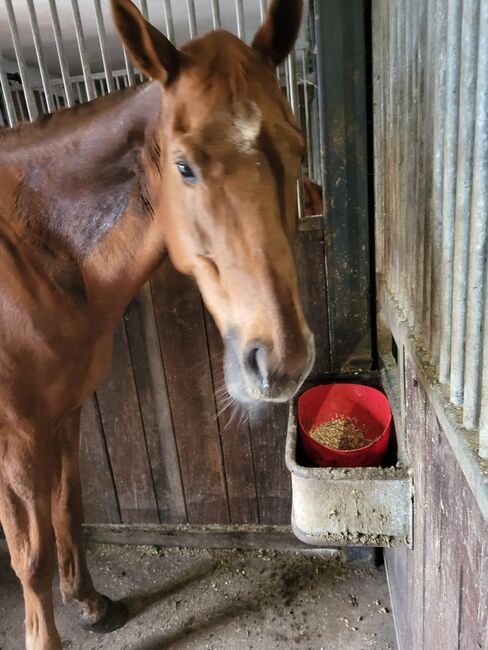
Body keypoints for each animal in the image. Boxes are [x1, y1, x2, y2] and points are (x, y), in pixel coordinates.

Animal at [0, 2, 312, 644]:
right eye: (184, 166)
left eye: (297, 150)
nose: (282, 361)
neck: (31, 253)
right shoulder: (16, 438)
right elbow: (31, 554)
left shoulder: (65, 413)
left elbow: (68, 507)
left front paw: (91, 604)